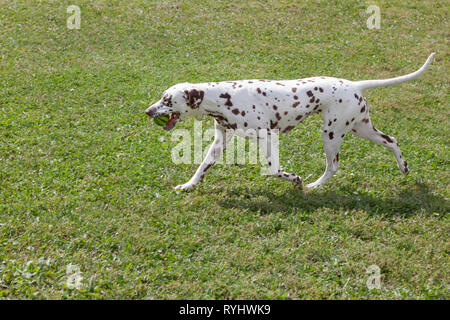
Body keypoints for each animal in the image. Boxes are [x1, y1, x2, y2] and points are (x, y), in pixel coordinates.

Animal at [146, 53, 434, 191]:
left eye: (167, 99)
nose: (148, 111)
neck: (224, 98)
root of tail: (354, 84)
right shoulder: (220, 142)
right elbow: (202, 167)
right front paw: (188, 185)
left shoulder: (268, 137)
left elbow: (274, 170)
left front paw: (294, 178)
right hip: (361, 128)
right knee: (392, 141)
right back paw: (404, 168)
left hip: (331, 135)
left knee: (333, 166)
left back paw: (313, 185)